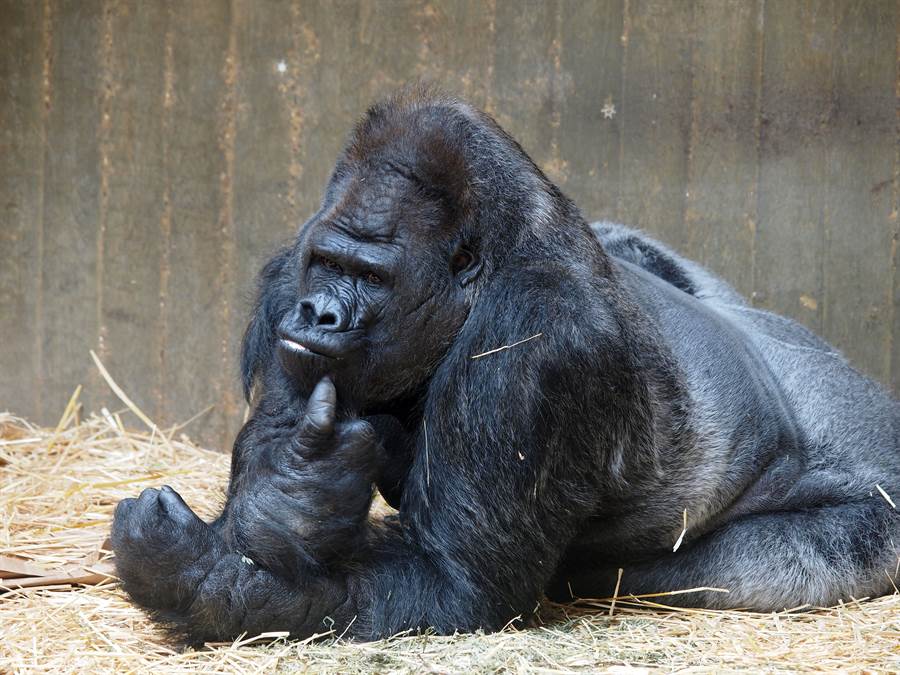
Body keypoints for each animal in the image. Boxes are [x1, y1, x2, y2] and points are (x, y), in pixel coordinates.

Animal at [112, 90, 900, 644]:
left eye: (371, 276)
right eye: (329, 264)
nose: (319, 314)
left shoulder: (539, 342)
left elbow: (457, 588)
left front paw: (212, 578)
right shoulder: (288, 284)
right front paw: (288, 504)